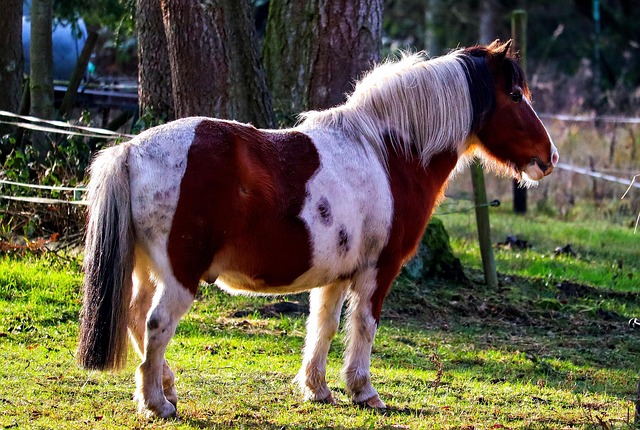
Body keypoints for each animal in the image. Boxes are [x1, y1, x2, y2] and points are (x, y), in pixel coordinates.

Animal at [77, 40, 559, 418]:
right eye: (515, 96)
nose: (549, 157)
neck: (387, 152)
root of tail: (130, 151)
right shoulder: (377, 271)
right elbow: (364, 325)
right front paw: (364, 392)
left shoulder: (335, 276)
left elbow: (322, 327)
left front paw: (318, 390)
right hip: (180, 274)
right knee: (156, 324)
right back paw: (158, 403)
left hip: (145, 269)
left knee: (136, 318)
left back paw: (166, 388)